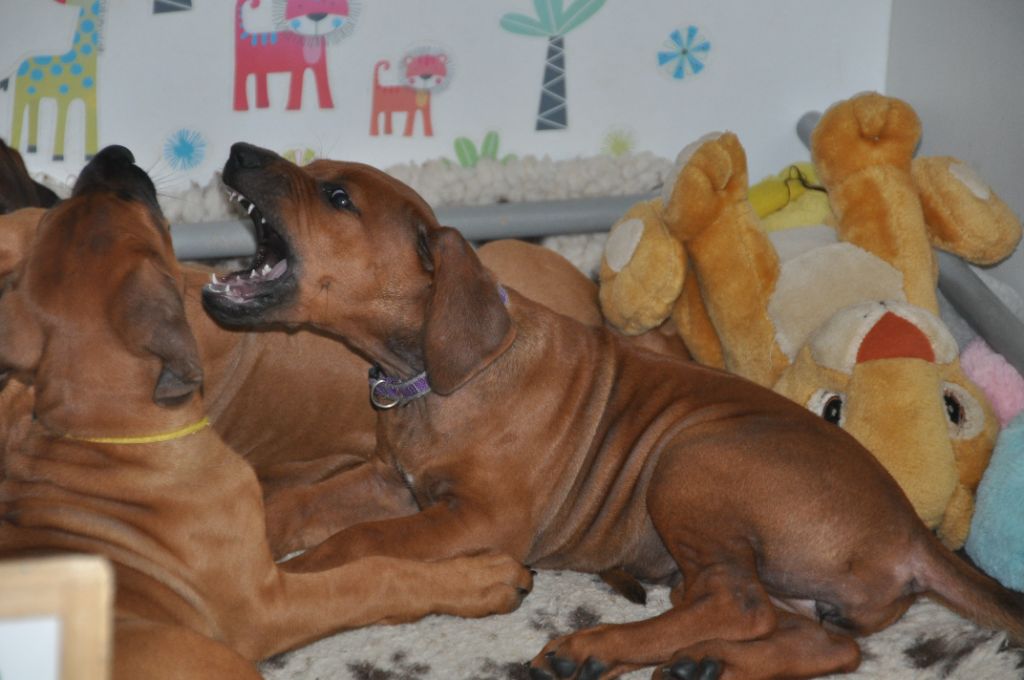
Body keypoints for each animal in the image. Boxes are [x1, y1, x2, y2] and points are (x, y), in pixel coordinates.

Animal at [0, 145, 532, 679]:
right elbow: (376, 576)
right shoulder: (265, 609)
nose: (114, 152)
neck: (97, 433)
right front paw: (481, 577)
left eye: (336, 194)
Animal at [201, 141, 1024, 680]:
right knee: (827, 643)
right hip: (770, 573)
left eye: (337, 198)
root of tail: (913, 533)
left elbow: (361, 540)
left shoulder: (477, 519)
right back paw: (702, 662)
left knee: (739, 603)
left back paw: (592, 648)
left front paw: (303, 570)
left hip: (691, 462)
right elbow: (301, 504)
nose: (238, 149)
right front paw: (254, 529)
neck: (429, 378)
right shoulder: (387, 478)